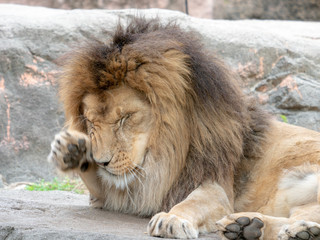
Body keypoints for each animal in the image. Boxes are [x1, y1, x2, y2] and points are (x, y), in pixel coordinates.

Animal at [47, 17, 320, 239]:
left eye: (125, 118)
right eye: (90, 121)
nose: (102, 161)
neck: (164, 154)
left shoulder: (216, 184)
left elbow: (193, 203)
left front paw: (172, 218)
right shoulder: (118, 191)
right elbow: (100, 182)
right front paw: (71, 151)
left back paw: (299, 230)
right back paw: (247, 226)